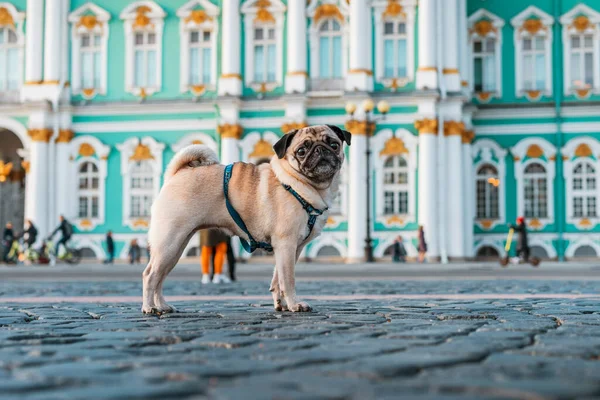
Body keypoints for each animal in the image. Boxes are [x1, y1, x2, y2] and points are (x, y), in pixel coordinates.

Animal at [142, 123, 350, 314]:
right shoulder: (286, 244)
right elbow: (288, 279)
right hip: (169, 242)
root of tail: (177, 174)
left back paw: (162, 306)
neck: (300, 184)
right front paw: (294, 304)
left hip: (176, 247)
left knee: (160, 277)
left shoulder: (291, 248)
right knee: (150, 275)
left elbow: (277, 279)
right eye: (301, 151)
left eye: (334, 144)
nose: (321, 150)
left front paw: (281, 305)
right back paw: (149, 308)